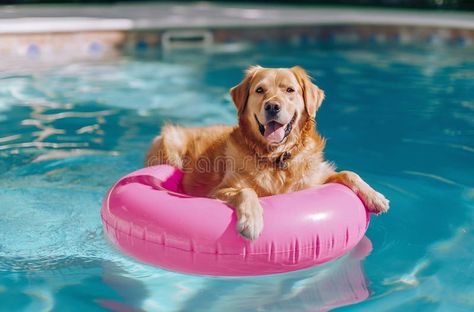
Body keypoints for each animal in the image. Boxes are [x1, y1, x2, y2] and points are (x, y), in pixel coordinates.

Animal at [145, 66, 388, 240]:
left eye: (290, 90)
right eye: (260, 90)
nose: (272, 106)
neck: (276, 158)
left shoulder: (313, 181)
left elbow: (348, 172)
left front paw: (375, 196)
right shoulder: (218, 191)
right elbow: (246, 191)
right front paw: (251, 221)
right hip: (168, 140)